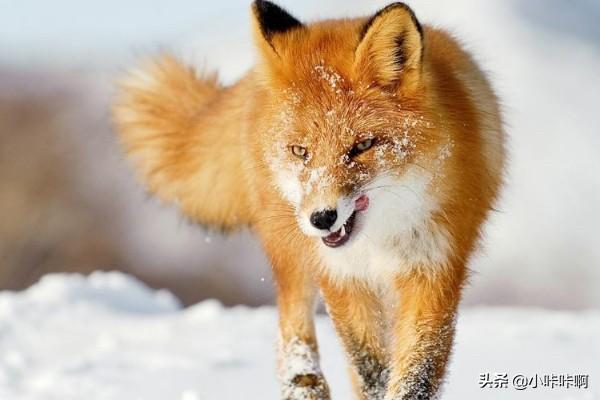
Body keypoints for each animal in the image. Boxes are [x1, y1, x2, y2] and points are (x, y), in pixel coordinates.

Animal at [113, 1, 506, 398]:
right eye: (301, 151)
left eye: (362, 146)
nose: (322, 218)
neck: (379, 240)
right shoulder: (341, 276)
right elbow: (368, 366)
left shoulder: (434, 270)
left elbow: (415, 373)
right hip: (290, 249)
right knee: (292, 326)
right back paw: (304, 383)